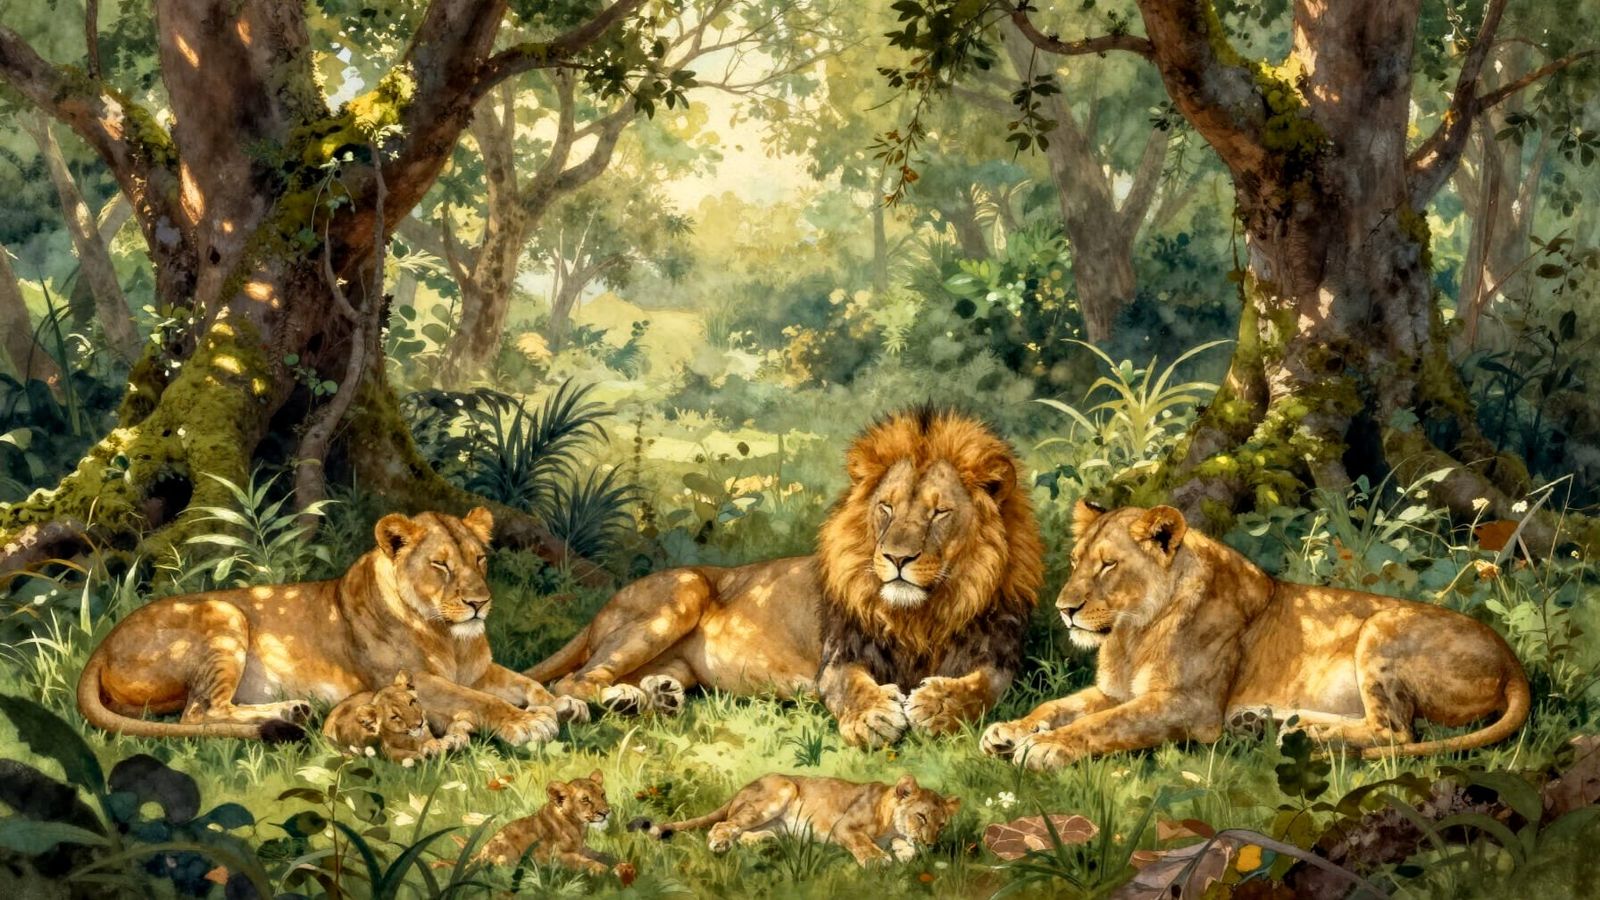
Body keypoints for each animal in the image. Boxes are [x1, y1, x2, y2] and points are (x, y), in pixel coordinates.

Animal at [77, 508, 586, 745]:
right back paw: (286, 714)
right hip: (225, 613)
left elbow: (524, 683)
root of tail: (102, 643)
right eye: (440, 565)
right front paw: (526, 723)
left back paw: (292, 710)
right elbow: (477, 701)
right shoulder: (412, 682)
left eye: (480, 559)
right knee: (199, 712)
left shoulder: (481, 670)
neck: (448, 636)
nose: (479, 603)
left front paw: (563, 703)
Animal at [526, 406, 1043, 748]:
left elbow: (982, 688)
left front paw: (936, 706)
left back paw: (651, 698)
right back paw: (600, 702)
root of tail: (603, 609)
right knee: (572, 680)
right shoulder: (837, 659)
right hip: (681, 592)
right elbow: (852, 686)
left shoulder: (999, 658)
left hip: (677, 660)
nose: (897, 558)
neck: (924, 612)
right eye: (887, 507)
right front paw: (874, 718)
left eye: (939, 513)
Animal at [629, 773, 960, 867]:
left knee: (743, 832)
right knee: (722, 825)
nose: (933, 844)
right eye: (921, 816)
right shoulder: (844, 826)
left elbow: (906, 848)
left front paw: (905, 853)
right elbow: (862, 842)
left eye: (942, 824)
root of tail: (742, 789)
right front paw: (877, 860)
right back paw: (720, 845)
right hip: (783, 788)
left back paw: (769, 843)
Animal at [981, 501, 1531, 770]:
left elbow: (1105, 724)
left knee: (1395, 732)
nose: (1064, 609)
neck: (1132, 632)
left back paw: (1304, 735)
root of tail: (1513, 664)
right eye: (1075, 562)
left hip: (1380, 625)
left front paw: (1048, 748)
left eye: (1108, 565)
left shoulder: (1189, 707)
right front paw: (1008, 730)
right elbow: (1059, 706)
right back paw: (1272, 724)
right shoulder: (1115, 690)